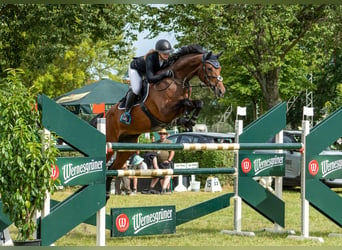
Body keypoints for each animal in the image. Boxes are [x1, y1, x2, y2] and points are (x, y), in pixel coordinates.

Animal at [105, 44, 226, 198]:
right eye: (210, 68)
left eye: (219, 68)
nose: (221, 91)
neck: (177, 80)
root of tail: (105, 115)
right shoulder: (164, 111)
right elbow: (187, 103)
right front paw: (186, 119)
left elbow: (198, 103)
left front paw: (189, 121)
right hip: (110, 142)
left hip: (127, 146)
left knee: (112, 168)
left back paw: (106, 193)